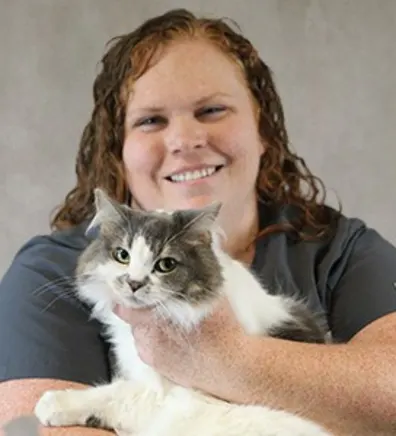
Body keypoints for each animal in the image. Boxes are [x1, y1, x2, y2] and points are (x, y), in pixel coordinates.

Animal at [34, 188, 332, 436]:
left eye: (165, 265)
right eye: (122, 255)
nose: (134, 283)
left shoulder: (180, 398)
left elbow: (121, 393)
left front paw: (54, 402)